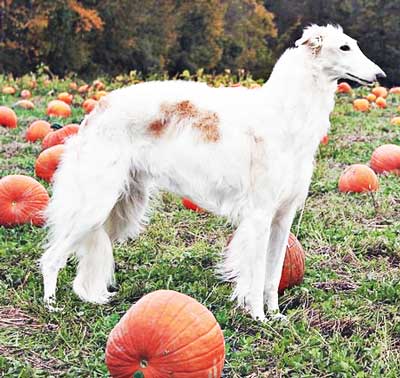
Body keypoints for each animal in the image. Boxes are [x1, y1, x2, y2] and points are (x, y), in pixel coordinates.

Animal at [39, 24, 384, 318]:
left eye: (355, 45)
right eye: (344, 47)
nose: (380, 74)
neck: (285, 114)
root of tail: (96, 111)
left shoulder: (283, 216)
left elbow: (273, 275)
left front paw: (276, 316)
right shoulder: (260, 214)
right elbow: (256, 275)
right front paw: (258, 317)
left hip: (120, 207)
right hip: (95, 204)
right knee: (51, 257)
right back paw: (52, 306)